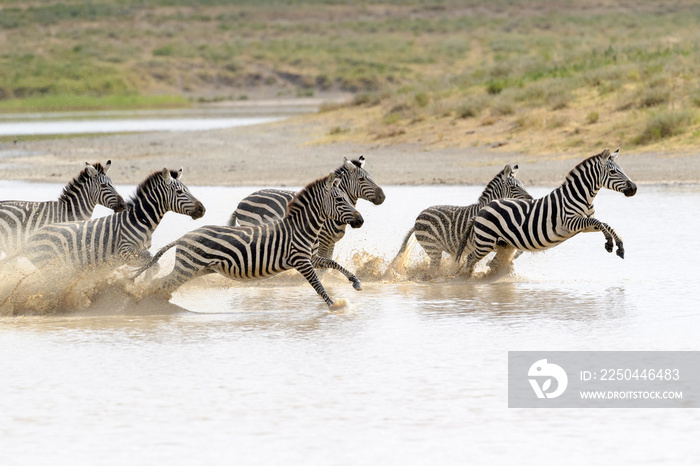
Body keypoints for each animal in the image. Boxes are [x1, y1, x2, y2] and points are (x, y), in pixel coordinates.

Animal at [21, 167, 205, 270]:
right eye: (179, 192)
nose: (202, 209)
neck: (139, 220)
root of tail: (31, 237)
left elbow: (153, 263)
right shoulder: (125, 252)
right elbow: (152, 262)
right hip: (50, 265)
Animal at [136, 171, 366, 310]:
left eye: (346, 198)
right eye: (339, 199)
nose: (361, 220)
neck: (301, 228)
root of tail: (183, 236)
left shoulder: (311, 257)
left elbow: (332, 263)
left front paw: (355, 281)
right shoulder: (301, 260)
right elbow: (318, 285)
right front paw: (334, 305)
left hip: (195, 269)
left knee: (161, 283)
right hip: (188, 268)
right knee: (161, 283)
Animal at [228, 156, 382, 262]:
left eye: (372, 177)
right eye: (362, 179)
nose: (383, 196)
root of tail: (241, 203)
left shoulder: (330, 243)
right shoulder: (323, 241)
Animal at [394, 164, 532, 272]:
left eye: (523, 185)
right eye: (514, 187)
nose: (530, 198)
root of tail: (418, 217)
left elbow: (518, 251)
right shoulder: (485, 241)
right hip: (432, 247)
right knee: (432, 270)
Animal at [456, 147, 636, 274]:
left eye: (622, 170)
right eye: (612, 172)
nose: (634, 188)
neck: (581, 197)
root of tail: (482, 209)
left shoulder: (584, 227)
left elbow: (605, 223)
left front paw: (619, 246)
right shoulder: (571, 222)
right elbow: (598, 221)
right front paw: (609, 243)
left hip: (501, 243)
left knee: (490, 261)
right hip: (485, 242)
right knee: (470, 258)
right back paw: (464, 279)